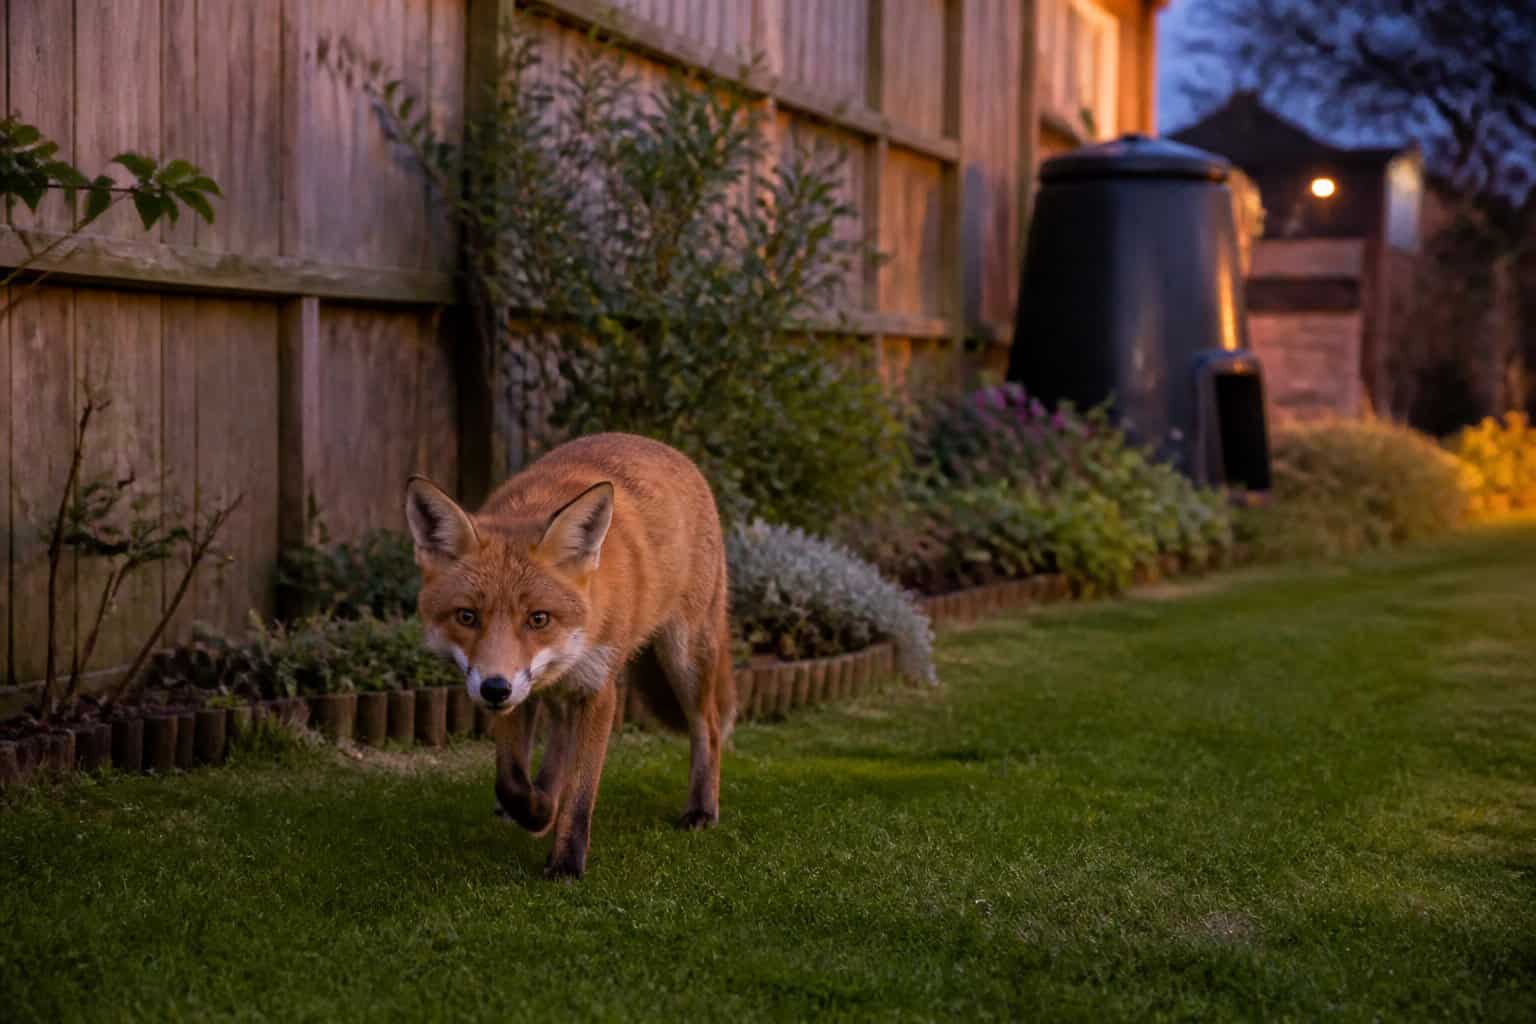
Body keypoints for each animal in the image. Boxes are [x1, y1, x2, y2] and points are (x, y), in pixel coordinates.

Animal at [404, 433, 735, 880]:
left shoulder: (598, 691)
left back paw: (701, 809)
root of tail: (663, 447)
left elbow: (580, 790)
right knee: (559, 735)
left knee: (709, 728)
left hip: (685, 656)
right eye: (467, 617)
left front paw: (565, 860)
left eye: (538, 618)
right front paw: (537, 810)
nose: (494, 690)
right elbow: (511, 778)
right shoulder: (515, 691)